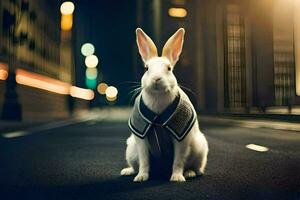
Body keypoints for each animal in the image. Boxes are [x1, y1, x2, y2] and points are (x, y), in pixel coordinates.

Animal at [120, 27, 209, 182]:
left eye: (169, 68)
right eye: (146, 68)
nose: (156, 78)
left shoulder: (181, 137)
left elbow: (178, 160)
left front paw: (177, 178)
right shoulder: (141, 138)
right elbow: (144, 160)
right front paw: (141, 177)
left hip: (200, 148)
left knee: (197, 167)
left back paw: (190, 173)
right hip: (131, 149)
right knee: (135, 164)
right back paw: (128, 171)